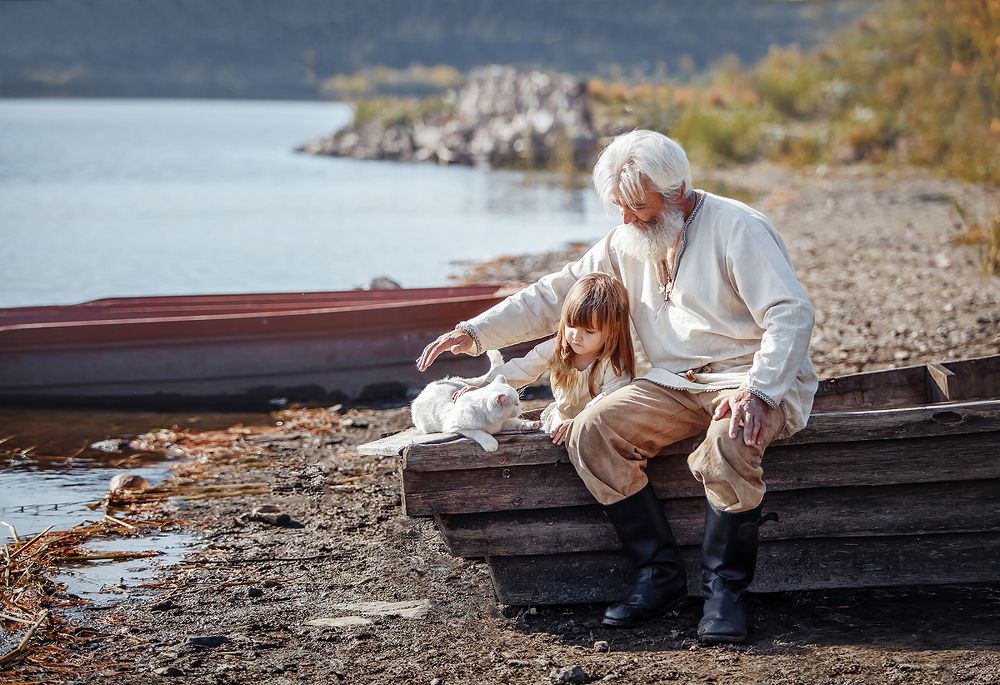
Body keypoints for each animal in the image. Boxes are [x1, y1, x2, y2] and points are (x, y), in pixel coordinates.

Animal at [412, 350, 544, 452]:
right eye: (516, 404)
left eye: (518, 401)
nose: (521, 408)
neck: (494, 422)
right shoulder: (455, 427)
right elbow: (478, 432)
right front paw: (490, 443)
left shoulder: (502, 424)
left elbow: (517, 422)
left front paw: (531, 424)